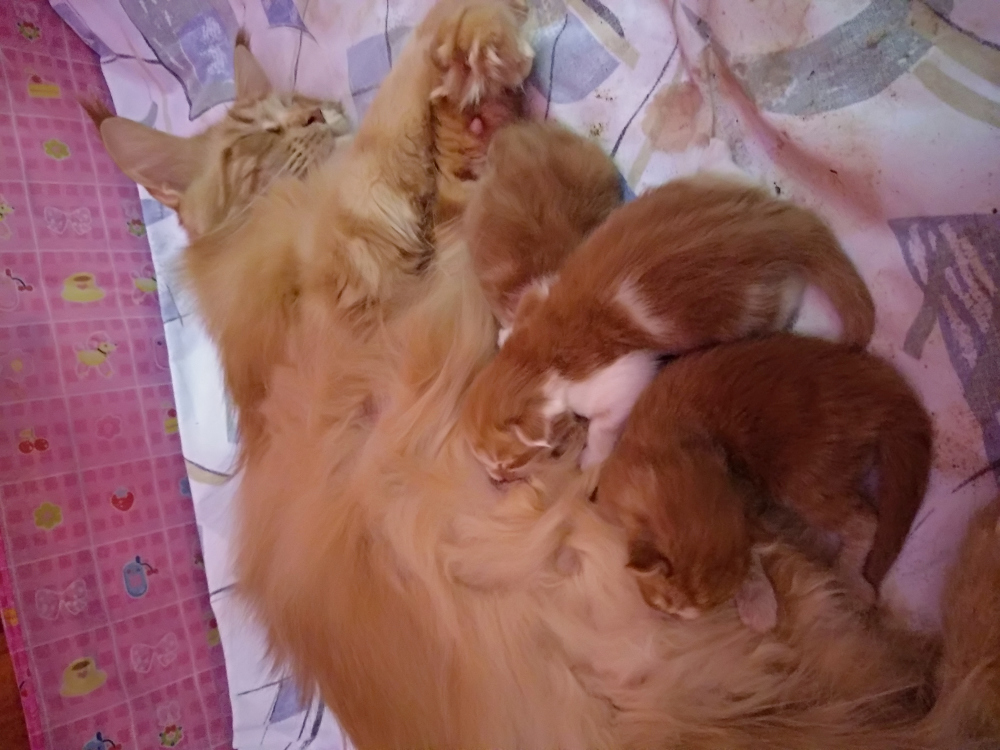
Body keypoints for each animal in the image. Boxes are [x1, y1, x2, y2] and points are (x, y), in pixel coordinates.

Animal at [462, 175, 876, 481]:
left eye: (507, 462)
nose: (496, 480)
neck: (538, 351)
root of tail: (776, 225)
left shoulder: (622, 380)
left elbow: (602, 427)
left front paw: (591, 460)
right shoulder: (542, 294)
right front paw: (503, 332)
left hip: (755, 305)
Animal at [594, 333, 933, 628]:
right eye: (665, 602)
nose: (672, 620)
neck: (669, 448)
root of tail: (876, 380)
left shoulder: (743, 492)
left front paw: (757, 601)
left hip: (806, 478)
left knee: (865, 519)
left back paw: (851, 578)